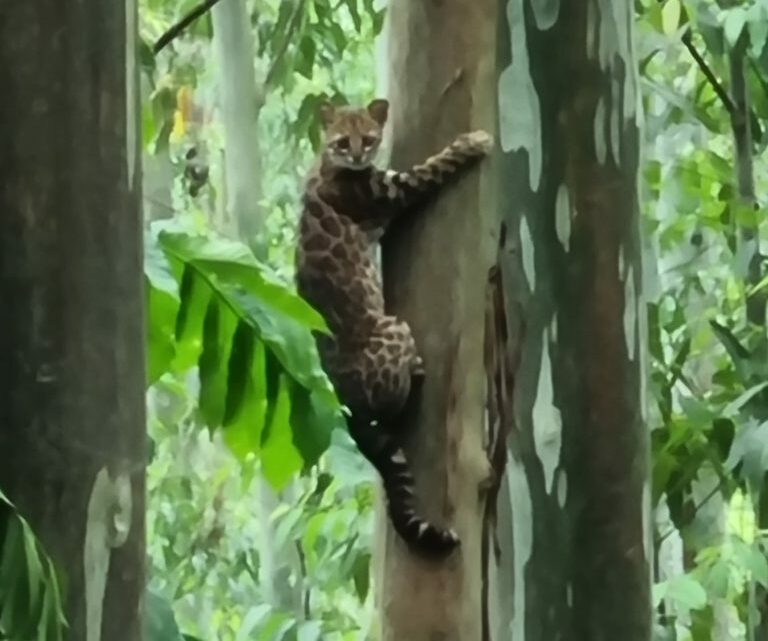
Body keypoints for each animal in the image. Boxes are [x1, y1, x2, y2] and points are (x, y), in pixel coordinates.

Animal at [294, 99, 492, 556]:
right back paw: (417, 373)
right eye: (342, 141)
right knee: (397, 403)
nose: (356, 155)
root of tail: (344, 400)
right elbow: (433, 166)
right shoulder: (393, 191)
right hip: (396, 327)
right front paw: (472, 143)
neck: (326, 161)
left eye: (367, 138)